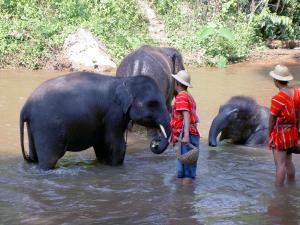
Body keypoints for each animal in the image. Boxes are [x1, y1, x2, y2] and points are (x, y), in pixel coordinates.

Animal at [20, 72, 171, 169]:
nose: (155, 143)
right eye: (152, 104)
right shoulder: (113, 113)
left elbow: (102, 144)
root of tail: (25, 107)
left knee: (34, 157)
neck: (124, 80)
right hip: (47, 127)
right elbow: (116, 143)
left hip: (33, 126)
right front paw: (115, 166)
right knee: (49, 159)